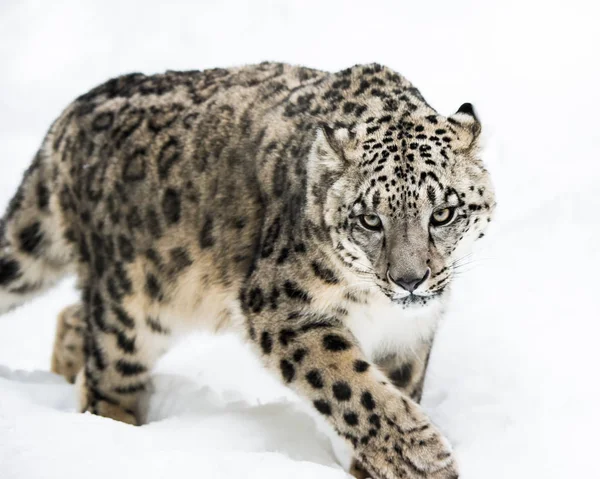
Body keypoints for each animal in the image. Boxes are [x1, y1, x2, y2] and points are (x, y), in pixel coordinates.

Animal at [0, 62, 494, 479]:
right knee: (108, 372)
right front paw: (423, 458)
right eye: (370, 220)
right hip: (129, 305)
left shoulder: (409, 334)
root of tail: (70, 115)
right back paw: (112, 434)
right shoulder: (283, 309)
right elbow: (354, 388)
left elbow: (397, 389)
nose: (409, 280)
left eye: (443, 213)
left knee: (73, 317)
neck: (377, 307)